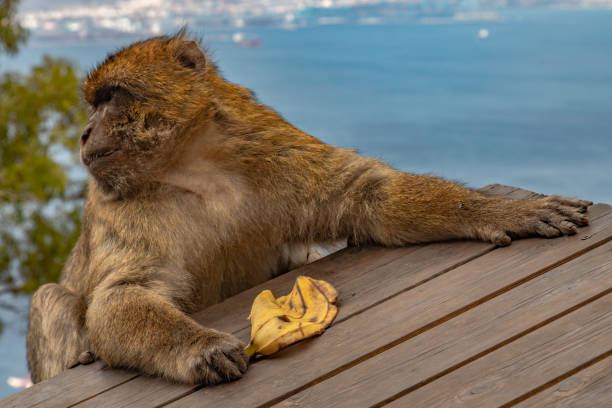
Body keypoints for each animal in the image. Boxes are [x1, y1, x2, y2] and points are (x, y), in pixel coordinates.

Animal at [26, 32, 592, 386]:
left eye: (111, 97)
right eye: (95, 102)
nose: (85, 133)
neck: (191, 163)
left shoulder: (273, 145)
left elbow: (368, 196)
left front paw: (497, 212)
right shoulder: (117, 206)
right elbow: (119, 296)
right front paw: (200, 347)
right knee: (51, 297)